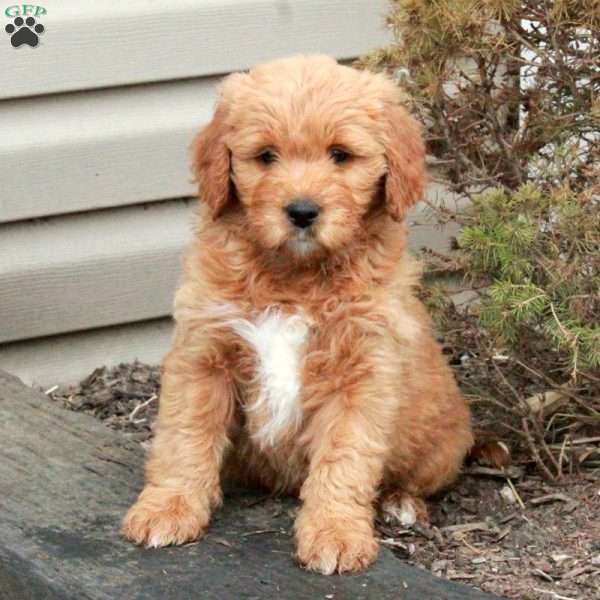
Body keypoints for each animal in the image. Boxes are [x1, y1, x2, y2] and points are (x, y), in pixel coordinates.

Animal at [123, 54, 474, 576]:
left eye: (341, 155)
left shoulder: (362, 374)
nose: (303, 211)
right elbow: (185, 435)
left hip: (442, 446)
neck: (295, 278)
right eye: (266, 155)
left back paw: (401, 504)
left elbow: (345, 457)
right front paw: (168, 507)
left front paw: (334, 534)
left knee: (413, 479)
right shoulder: (203, 353)